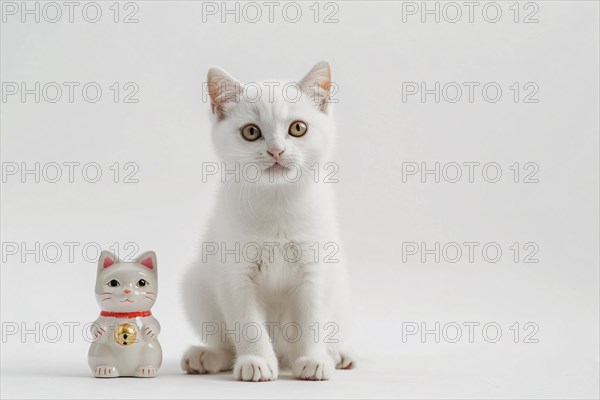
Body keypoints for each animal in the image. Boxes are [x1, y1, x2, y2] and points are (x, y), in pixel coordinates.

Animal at [86, 250, 162, 378]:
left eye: (142, 282)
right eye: (113, 283)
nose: (128, 291)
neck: (125, 314)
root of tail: (126, 372)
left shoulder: (148, 317)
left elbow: (156, 324)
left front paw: (150, 330)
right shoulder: (102, 318)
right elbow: (93, 326)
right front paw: (99, 331)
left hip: (151, 350)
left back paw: (146, 370)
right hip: (100, 351)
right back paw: (105, 369)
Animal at [180, 62, 354, 382]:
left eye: (298, 128)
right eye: (251, 132)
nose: (276, 151)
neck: (277, 202)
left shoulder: (315, 270)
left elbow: (312, 320)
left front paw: (313, 359)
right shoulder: (235, 274)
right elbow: (248, 324)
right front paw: (256, 361)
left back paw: (337, 354)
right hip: (194, 286)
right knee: (224, 341)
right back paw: (206, 356)